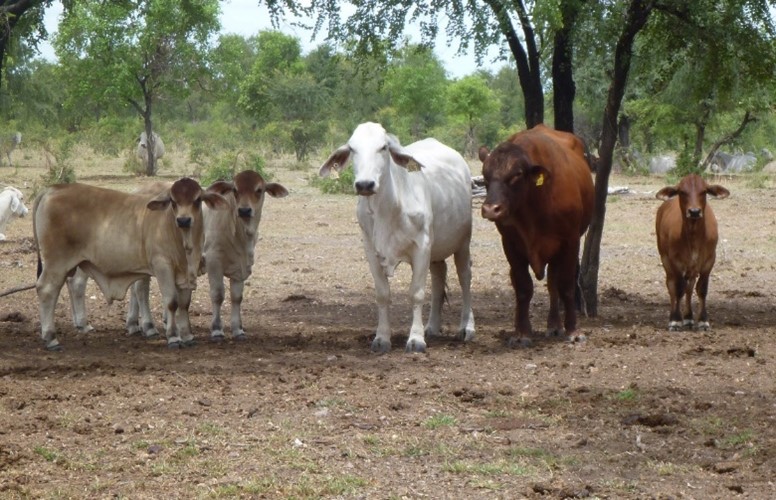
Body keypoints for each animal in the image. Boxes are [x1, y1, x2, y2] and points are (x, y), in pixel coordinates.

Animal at [318, 122, 476, 354]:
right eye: (353, 148)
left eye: (383, 147)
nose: (365, 184)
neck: (388, 209)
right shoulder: (371, 250)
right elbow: (382, 294)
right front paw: (382, 338)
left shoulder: (422, 247)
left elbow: (416, 293)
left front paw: (416, 340)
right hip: (436, 250)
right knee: (439, 278)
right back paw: (432, 327)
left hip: (463, 242)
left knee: (465, 278)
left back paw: (467, 327)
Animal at [478, 124, 596, 348]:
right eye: (485, 175)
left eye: (516, 174)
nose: (491, 209)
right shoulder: (511, 245)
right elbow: (523, 288)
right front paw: (522, 333)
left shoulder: (570, 242)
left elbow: (566, 286)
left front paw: (573, 331)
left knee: (553, 285)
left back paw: (555, 326)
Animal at [656, 174, 728, 330]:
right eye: (682, 192)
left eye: (704, 191)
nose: (694, 211)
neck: (694, 236)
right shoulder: (675, 261)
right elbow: (678, 289)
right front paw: (676, 320)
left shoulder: (709, 261)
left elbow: (701, 289)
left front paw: (702, 320)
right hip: (665, 259)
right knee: (672, 286)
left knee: (689, 287)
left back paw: (688, 317)